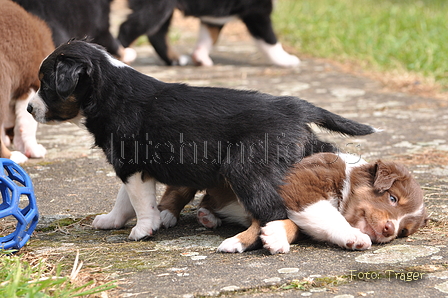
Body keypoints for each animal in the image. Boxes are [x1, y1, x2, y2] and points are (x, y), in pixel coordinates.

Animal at [28, 40, 376, 251]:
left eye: (46, 84)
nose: (29, 109)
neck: (110, 91)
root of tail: (296, 106)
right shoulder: (130, 165)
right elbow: (123, 199)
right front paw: (112, 221)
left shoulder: (130, 163)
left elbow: (139, 201)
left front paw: (143, 229)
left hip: (246, 168)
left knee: (274, 211)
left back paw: (249, 240)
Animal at [119, 0, 300, 67]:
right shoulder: (257, 13)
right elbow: (270, 41)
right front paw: (286, 59)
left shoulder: (214, 19)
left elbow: (210, 37)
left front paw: (200, 57)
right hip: (155, 7)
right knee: (127, 28)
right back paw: (123, 56)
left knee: (157, 35)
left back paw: (175, 59)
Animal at [158, 154, 428, 254]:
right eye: (392, 198)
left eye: (403, 232)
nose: (390, 230)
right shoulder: (300, 186)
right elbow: (328, 215)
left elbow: (295, 224)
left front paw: (275, 235)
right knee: (178, 188)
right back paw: (164, 215)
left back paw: (208, 216)